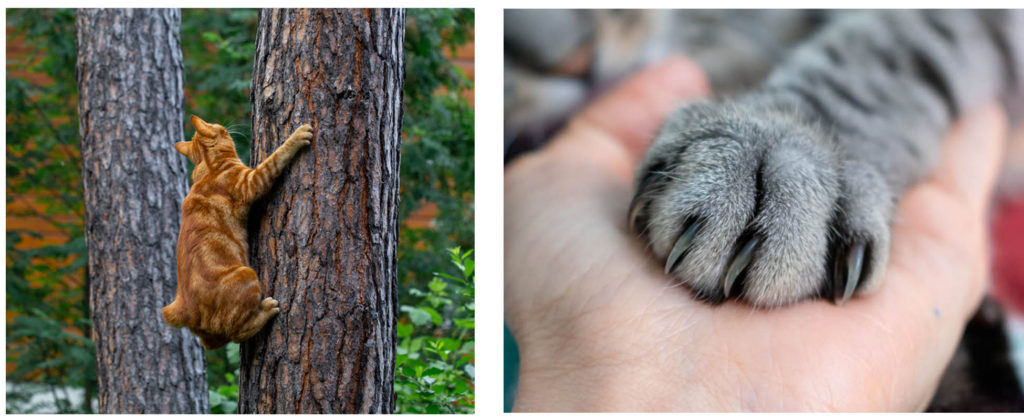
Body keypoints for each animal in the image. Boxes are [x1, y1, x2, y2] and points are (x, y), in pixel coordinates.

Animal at [158, 114, 311, 350]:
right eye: (220, 128)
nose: (228, 128)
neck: (208, 166)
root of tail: (183, 308)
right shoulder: (252, 180)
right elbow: (277, 157)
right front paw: (298, 135)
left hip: (208, 336)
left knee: (212, 343)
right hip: (247, 275)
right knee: (238, 333)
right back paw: (266, 311)